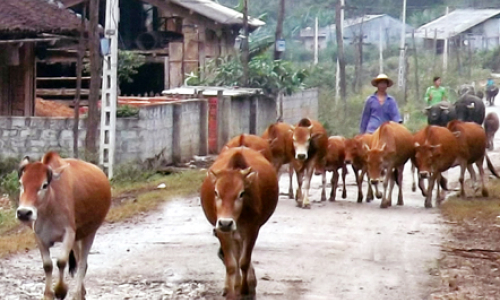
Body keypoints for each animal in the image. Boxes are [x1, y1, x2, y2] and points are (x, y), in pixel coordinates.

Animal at [16, 152, 111, 300]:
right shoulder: (39, 235)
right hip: (78, 237)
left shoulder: (69, 233)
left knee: (82, 263)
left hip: (90, 232)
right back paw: (82, 292)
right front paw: (48, 294)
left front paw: (60, 290)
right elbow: (47, 265)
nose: (24, 213)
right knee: (79, 261)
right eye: (21, 184)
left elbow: (61, 262)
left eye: (44, 185)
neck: (50, 206)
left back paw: (77, 294)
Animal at [200, 147, 280, 298]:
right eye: (216, 192)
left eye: (241, 193)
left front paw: (244, 289)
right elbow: (231, 264)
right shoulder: (221, 230)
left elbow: (244, 261)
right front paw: (231, 290)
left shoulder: (252, 229)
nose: (226, 223)